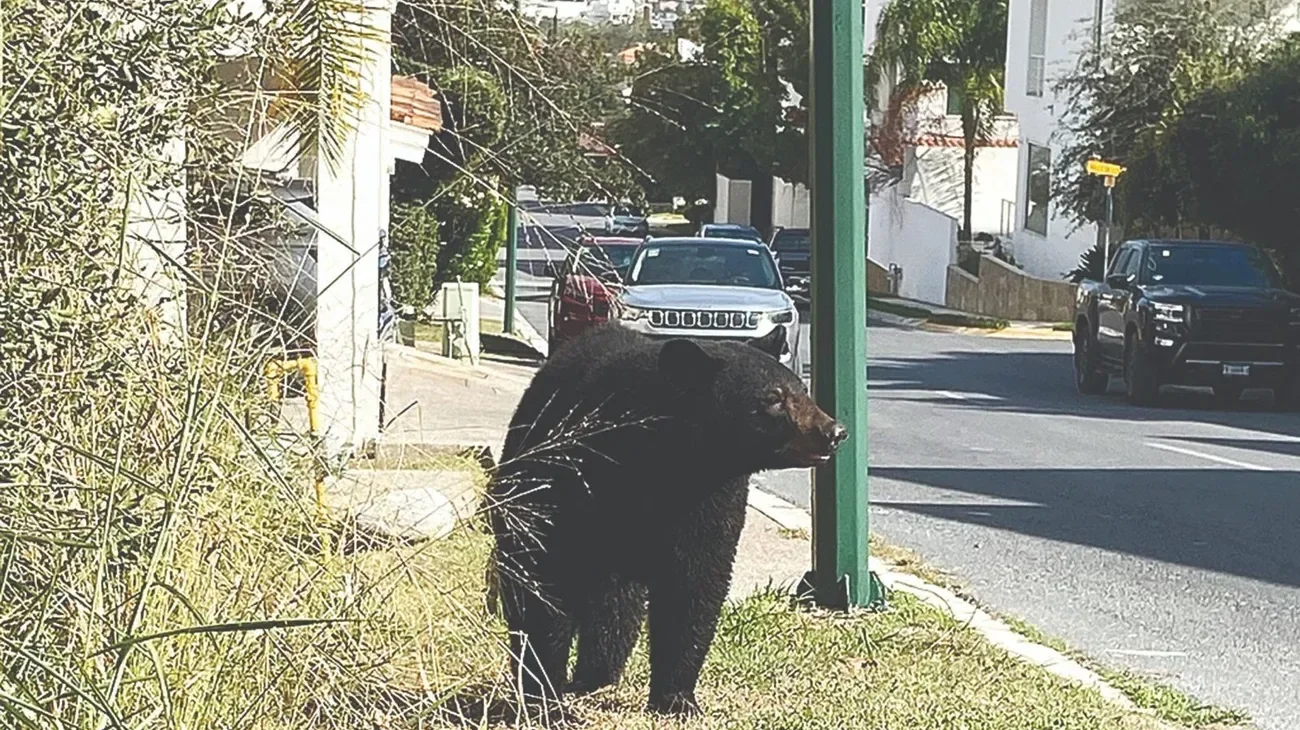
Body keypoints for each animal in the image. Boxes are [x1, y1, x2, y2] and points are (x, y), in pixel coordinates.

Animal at [483, 321, 846, 716]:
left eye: (803, 389)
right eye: (772, 398)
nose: (834, 432)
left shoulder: (710, 499)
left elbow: (694, 585)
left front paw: (677, 698)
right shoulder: (567, 479)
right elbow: (545, 581)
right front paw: (544, 696)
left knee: (616, 609)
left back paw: (597, 675)